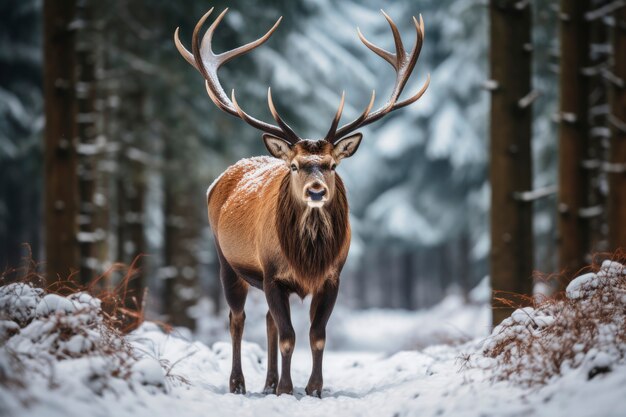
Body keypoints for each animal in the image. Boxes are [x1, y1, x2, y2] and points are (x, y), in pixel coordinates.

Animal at [174, 7, 428, 396]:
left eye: (332, 165)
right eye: (294, 165)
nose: (316, 191)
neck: (308, 257)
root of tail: (220, 180)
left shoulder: (332, 276)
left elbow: (316, 335)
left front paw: (312, 388)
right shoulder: (272, 274)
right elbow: (290, 336)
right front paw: (286, 389)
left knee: (267, 321)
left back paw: (266, 382)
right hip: (226, 260)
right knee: (237, 318)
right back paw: (239, 383)